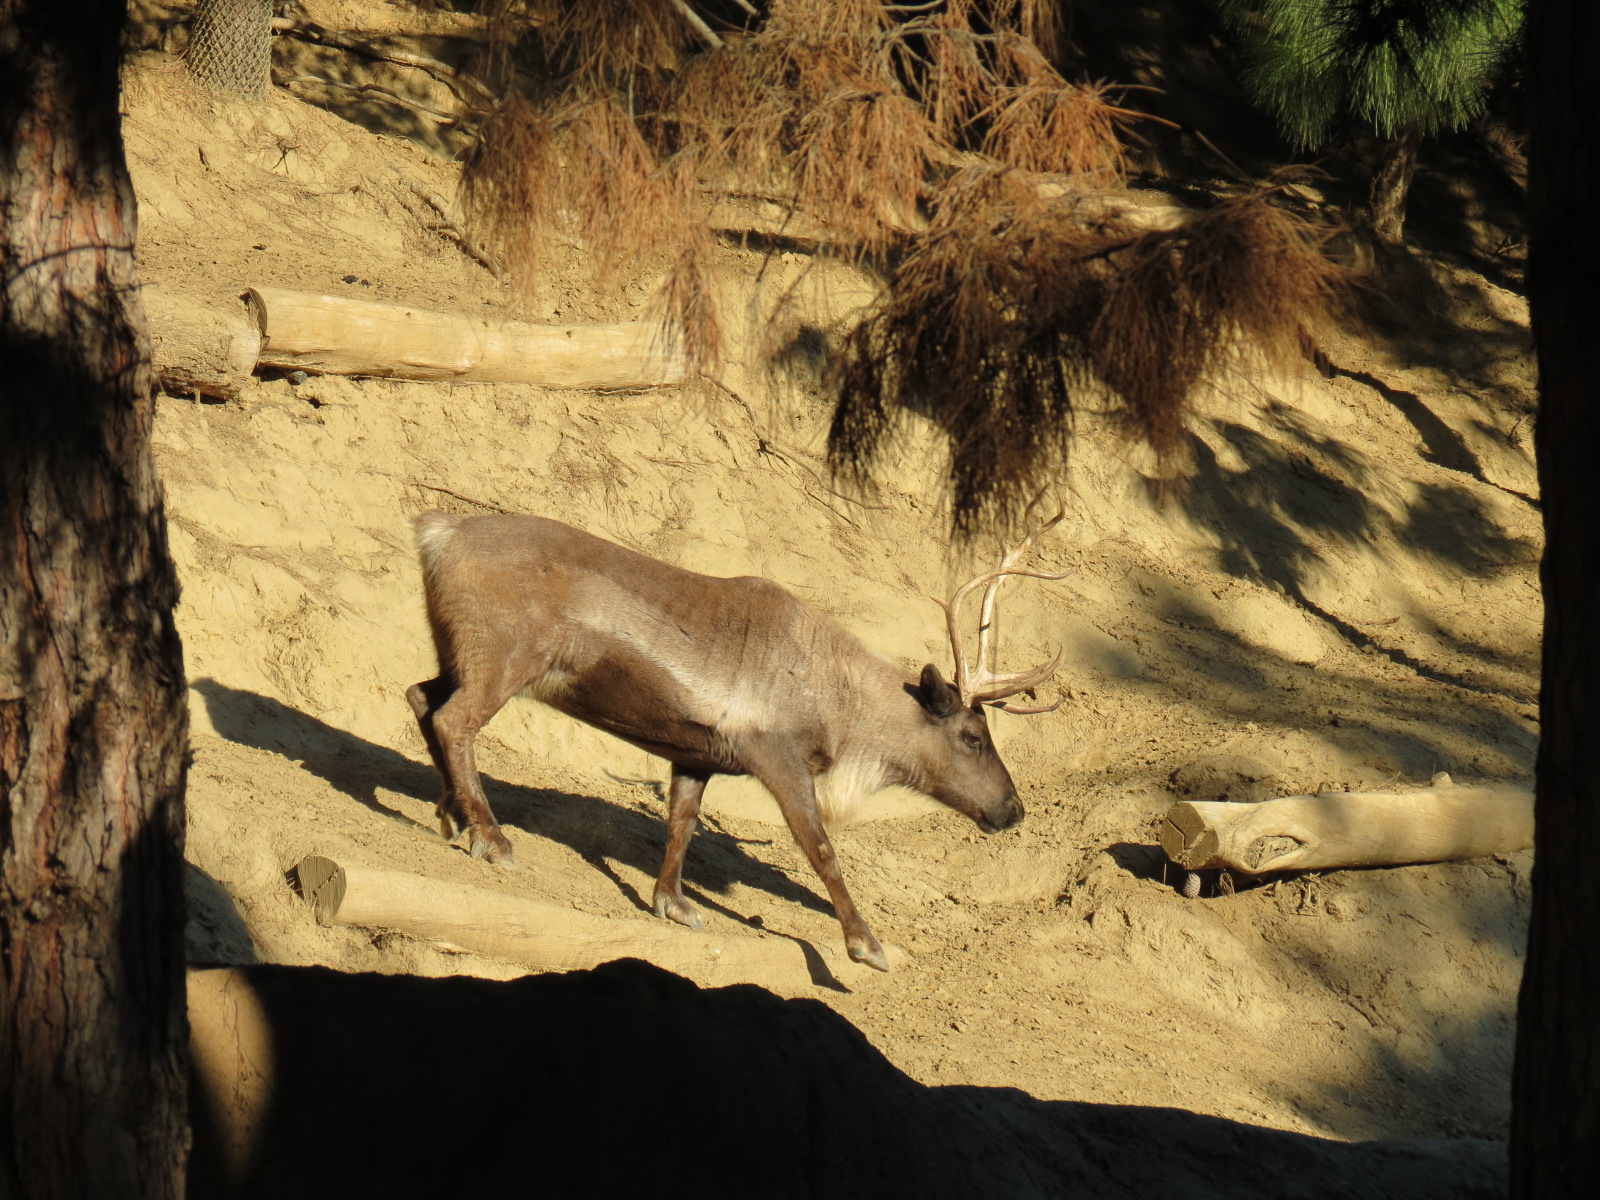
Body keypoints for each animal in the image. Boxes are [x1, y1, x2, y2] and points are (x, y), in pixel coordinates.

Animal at [405, 504, 1068, 972]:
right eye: (973, 735)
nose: (1013, 809)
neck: (843, 709)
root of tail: (436, 532)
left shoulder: (693, 752)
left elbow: (681, 823)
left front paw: (673, 903)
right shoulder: (779, 757)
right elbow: (821, 849)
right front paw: (866, 945)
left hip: (456, 650)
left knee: (420, 697)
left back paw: (451, 815)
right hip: (504, 657)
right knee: (453, 720)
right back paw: (492, 837)